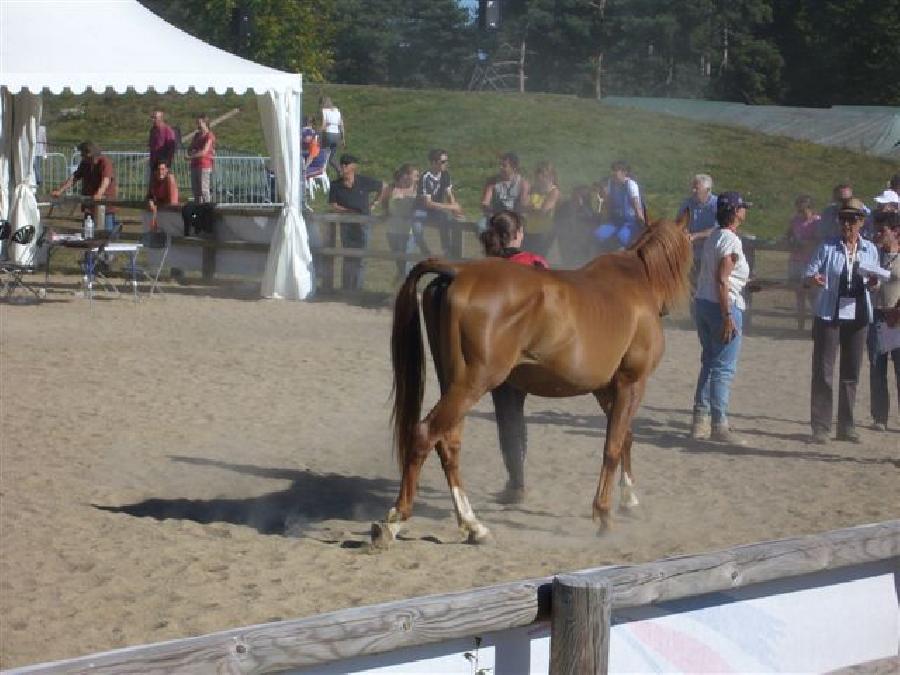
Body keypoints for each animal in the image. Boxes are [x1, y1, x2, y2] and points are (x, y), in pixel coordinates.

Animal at [370, 219, 688, 548]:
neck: (635, 281)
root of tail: (457, 272)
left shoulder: (605, 389)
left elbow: (624, 437)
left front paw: (629, 500)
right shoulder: (631, 382)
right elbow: (612, 446)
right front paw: (604, 515)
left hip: (455, 384)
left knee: (448, 444)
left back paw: (473, 525)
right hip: (472, 384)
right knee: (425, 434)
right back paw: (395, 520)